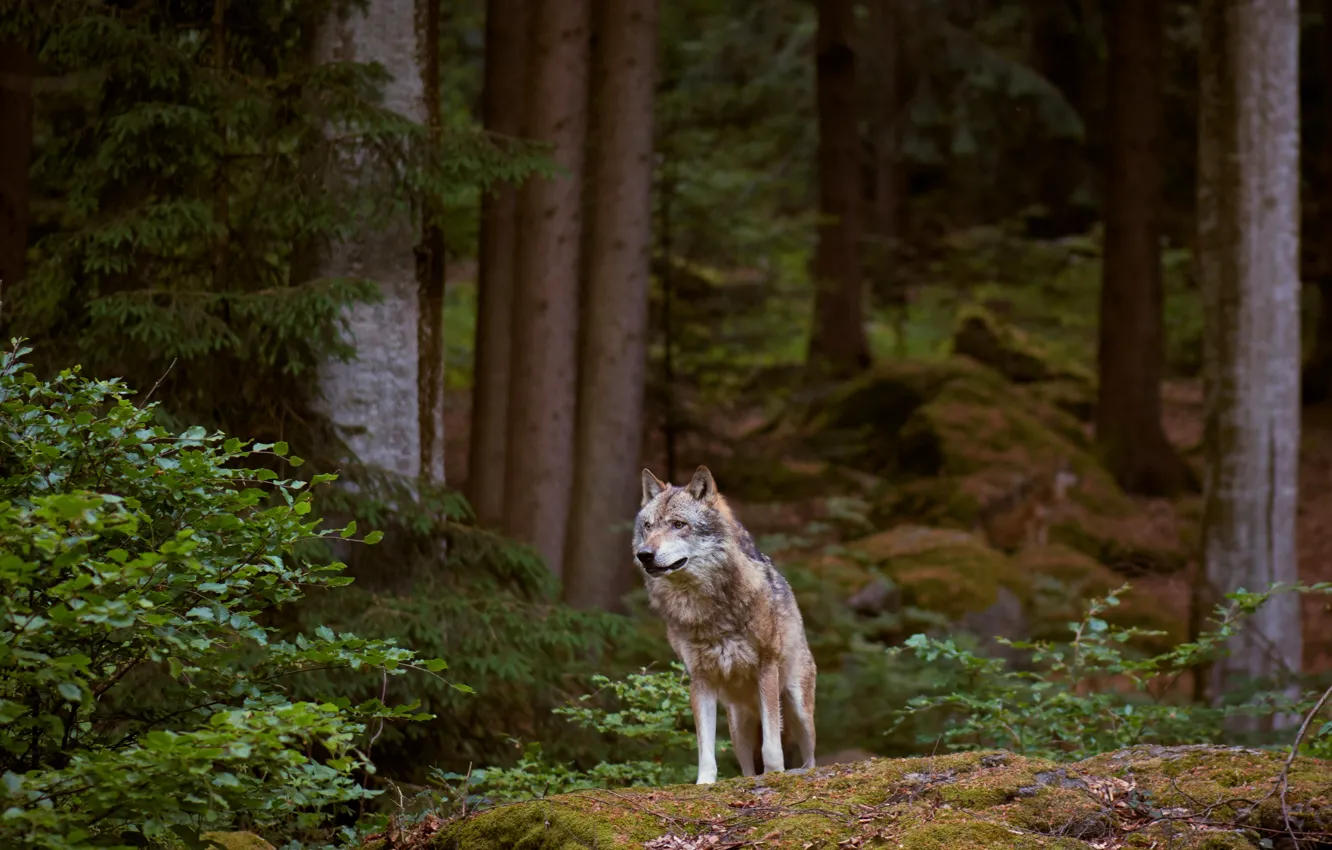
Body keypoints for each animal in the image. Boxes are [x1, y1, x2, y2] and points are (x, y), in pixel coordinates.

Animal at [631, 466, 815, 788]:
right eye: (648, 526)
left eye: (678, 525)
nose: (644, 554)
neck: (707, 610)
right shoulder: (699, 678)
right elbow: (705, 748)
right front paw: (704, 784)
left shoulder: (767, 667)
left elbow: (771, 746)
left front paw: (775, 775)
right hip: (738, 728)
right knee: (746, 768)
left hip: (798, 709)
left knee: (811, 756)